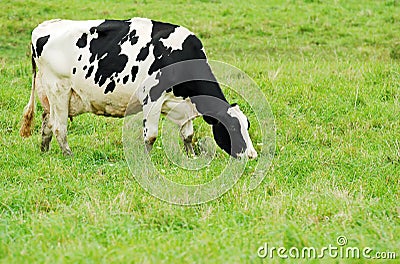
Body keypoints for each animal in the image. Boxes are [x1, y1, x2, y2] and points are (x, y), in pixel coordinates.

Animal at [19, 19, 256, 159]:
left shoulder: (183, 103)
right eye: (232, 127)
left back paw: (44, 152)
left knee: (47, 123)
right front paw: (146, 159)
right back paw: (69, 155)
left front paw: (191, 156)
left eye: (247, 125)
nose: (252, 155)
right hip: (58, 89)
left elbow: (187, 134)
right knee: (59, 127)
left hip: (52, 95)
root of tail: (44, 26)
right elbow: (150, 136)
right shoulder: (152, 96)